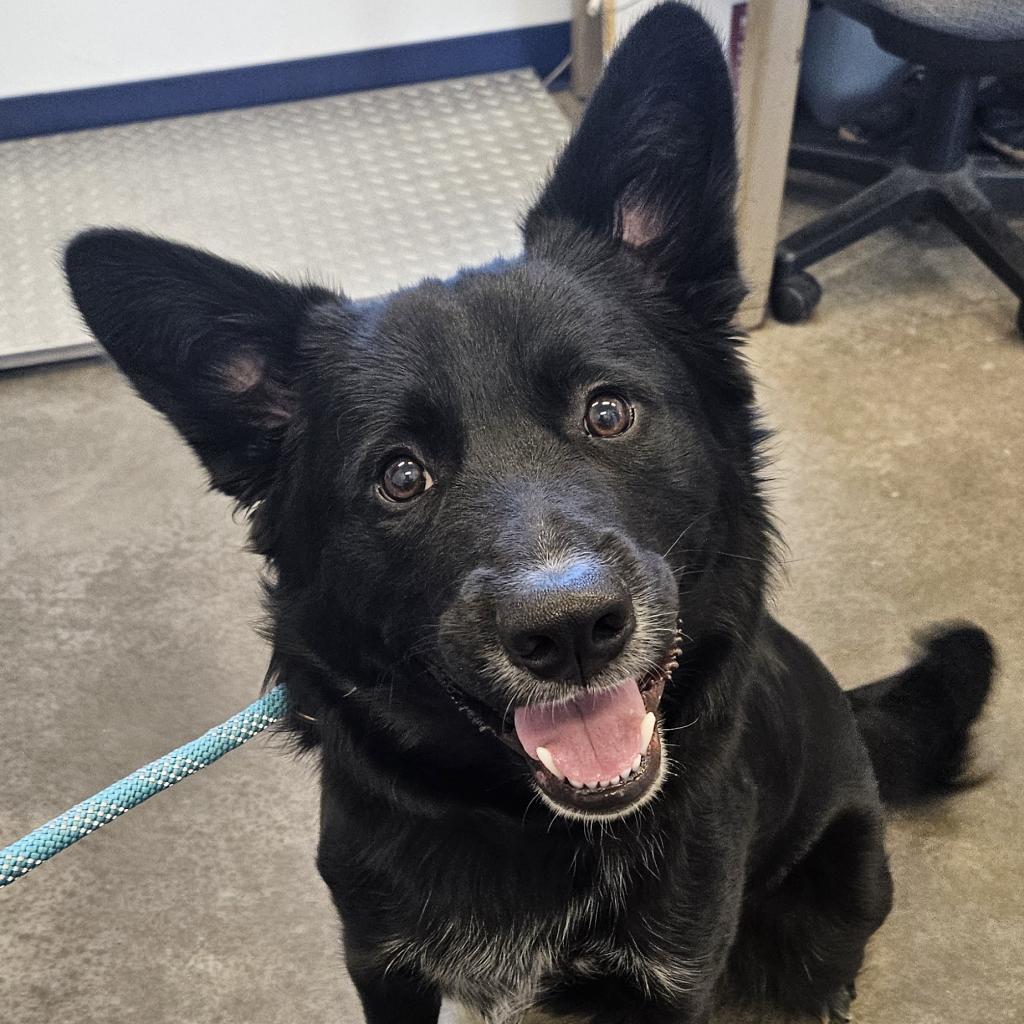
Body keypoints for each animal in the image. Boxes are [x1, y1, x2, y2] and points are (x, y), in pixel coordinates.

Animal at [61, 4, 991, 1019]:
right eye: (399, 476)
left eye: (608, 412)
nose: (573, 630)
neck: (520, 819)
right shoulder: (380, 962)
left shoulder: (675, 981)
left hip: (847, 885)